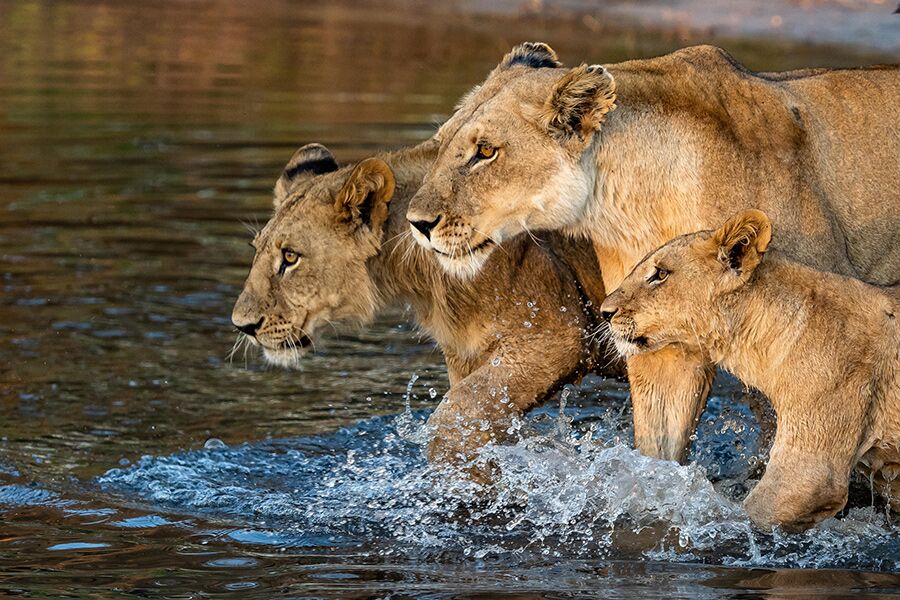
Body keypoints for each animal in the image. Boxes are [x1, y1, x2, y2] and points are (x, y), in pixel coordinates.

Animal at [230, 140, 620, 479]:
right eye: (257, 250)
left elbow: (452, 416)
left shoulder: (557, 335)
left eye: (290, 257)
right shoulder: (468, 357)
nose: (242, 325)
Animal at [405, 42, 900, 462]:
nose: (417, 223)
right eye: (443, 142)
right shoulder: (655, 339)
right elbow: (658, 452)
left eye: (486, 152)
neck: (632, 198)